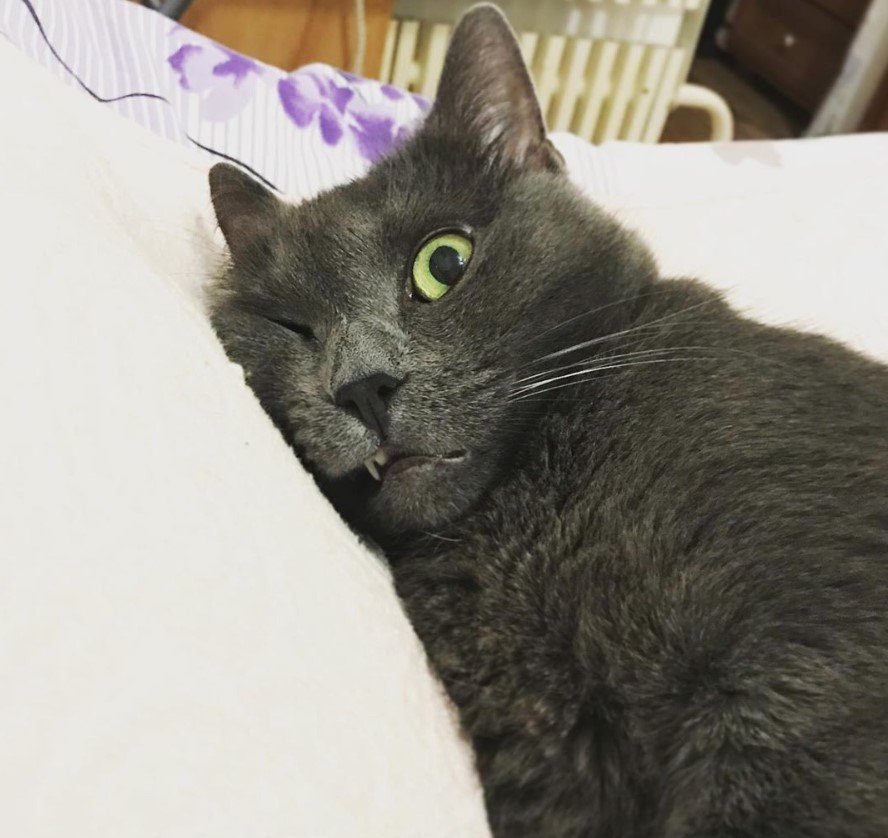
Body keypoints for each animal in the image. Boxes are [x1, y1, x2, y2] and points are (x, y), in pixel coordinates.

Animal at [205, 4, 888, 832]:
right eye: (293, 328)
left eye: (443, 262)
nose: (361, 385)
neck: (519, 517)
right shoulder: (552, 749)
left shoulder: (811, 654)